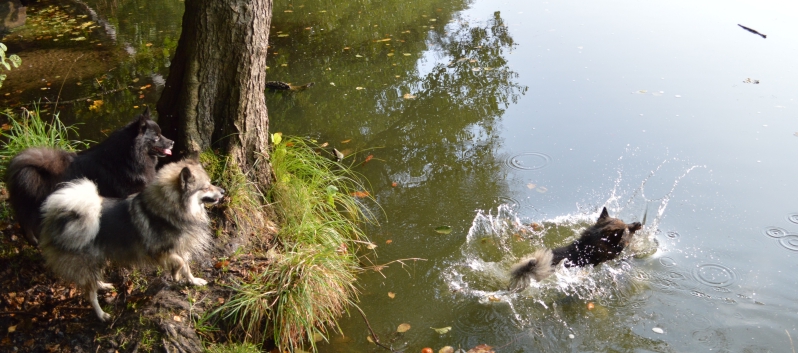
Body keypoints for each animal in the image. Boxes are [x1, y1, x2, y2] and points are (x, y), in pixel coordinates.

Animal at [4, 108, 173, 245]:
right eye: (156, 137)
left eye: (161, 133)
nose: (172, 142)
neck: (128, 157)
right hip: (33, 208)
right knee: (27, 224)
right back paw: (35, 241)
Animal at [39, 160, 223, 322]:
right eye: (206, 187)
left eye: (210, 184)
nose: (222, 191)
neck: (171, 208)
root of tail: (58, 220)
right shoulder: (160, 252)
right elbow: (179, 263)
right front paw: (175, 275)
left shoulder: (179, 248)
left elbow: (186, 267)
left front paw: (193, 281)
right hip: (88, 262)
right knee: (90, 294)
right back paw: (101, 314)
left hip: (98, 259)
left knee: (92, 280)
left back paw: (102, 285)